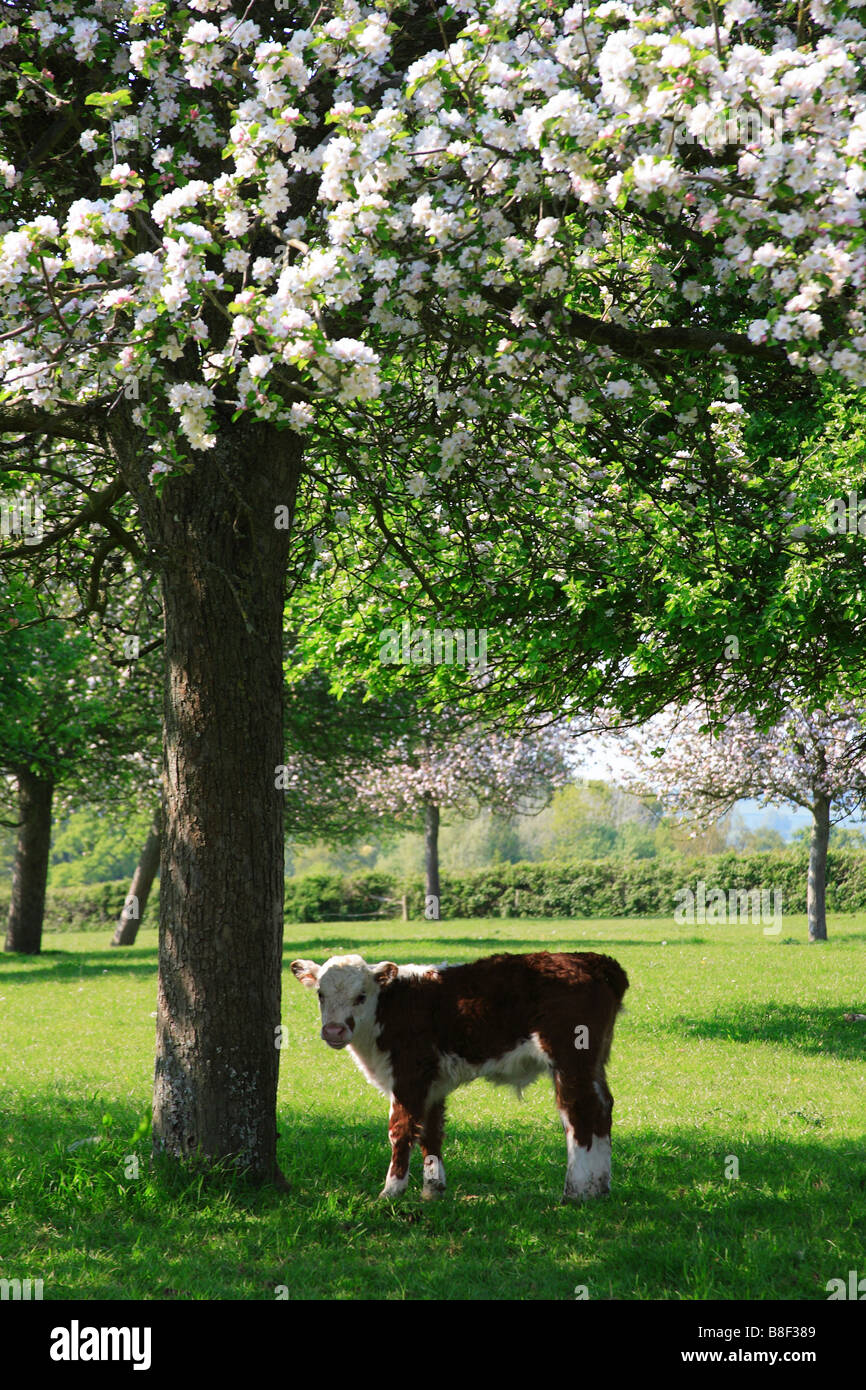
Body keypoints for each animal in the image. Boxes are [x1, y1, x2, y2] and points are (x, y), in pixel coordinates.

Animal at [291, 950, 628, 1202]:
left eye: (361, 996)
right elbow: (431, 1132)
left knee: (579, 1113)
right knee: (603, 1107)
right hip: (594, 1061)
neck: (389, 1008)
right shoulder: (433, 1083)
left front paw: (391, 1191)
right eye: (320, 994)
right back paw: (600, 1186)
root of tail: (589, 960)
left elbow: (400, 1130)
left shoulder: (409, 1075)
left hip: (571, 1059)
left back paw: (576, 1191)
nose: (334, 1030)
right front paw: (432, 1190)